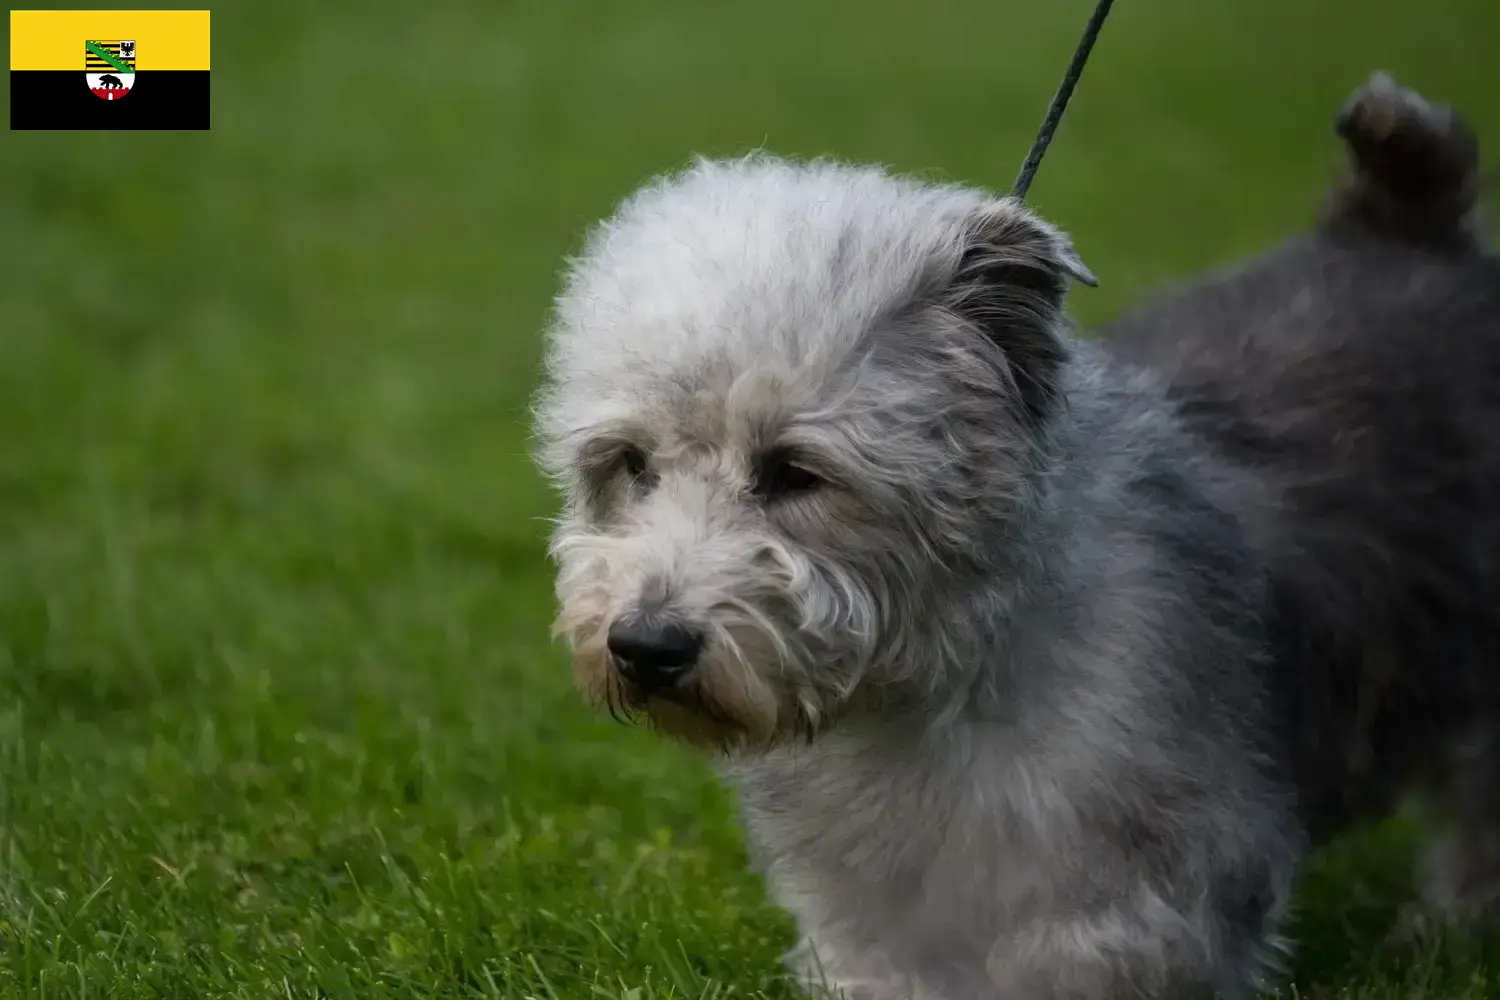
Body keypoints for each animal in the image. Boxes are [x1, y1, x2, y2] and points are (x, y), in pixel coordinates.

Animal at [531, 72, 1500, 1000]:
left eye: (793, 472)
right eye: (630, 463)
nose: (646, 646)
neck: (937, 685)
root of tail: (1405, 226)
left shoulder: (1142, 908)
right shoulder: (872, 926)